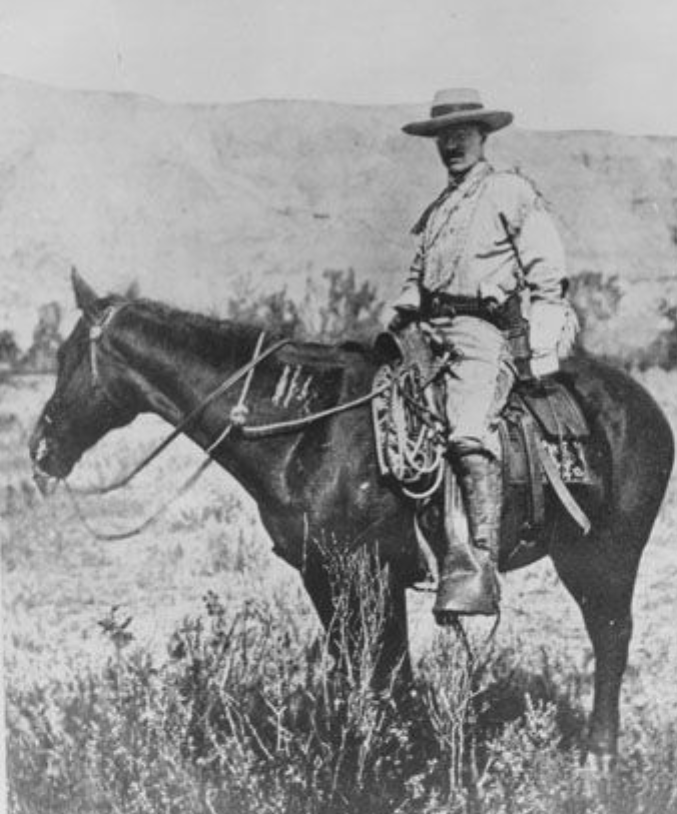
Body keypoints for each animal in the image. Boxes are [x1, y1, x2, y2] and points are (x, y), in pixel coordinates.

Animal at [30, 274, 672, 764]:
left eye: (67, 358)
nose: (40, 450)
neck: (307, 423)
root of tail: (643, 404)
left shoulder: (369, 571)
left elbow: (387, 670)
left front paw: (391, 761)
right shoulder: (323, 572)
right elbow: (359, 667)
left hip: (606, 556)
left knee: (611, 638)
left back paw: (599, 758)